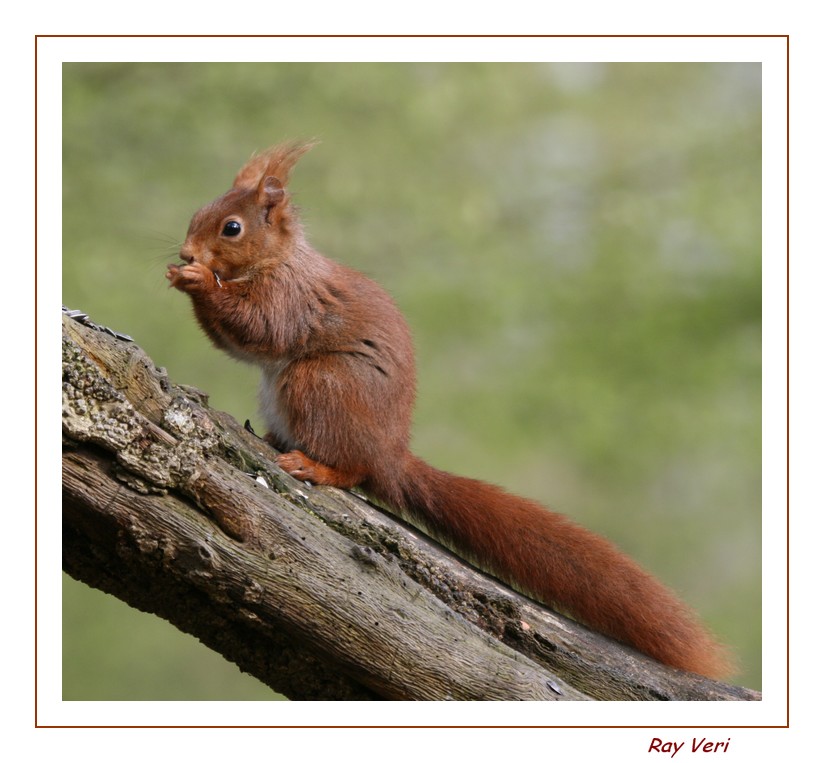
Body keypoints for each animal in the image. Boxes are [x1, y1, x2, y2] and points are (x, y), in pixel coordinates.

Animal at [166, 140, 728, 676]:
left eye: (232, 228)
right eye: (199, 211)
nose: (186, 250)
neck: (279, 261)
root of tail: (391, 457)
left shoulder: (291, 299)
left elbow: (259, 327)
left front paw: (197, 280)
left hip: (319, 385)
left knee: (353, 469)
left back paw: (315, 465)